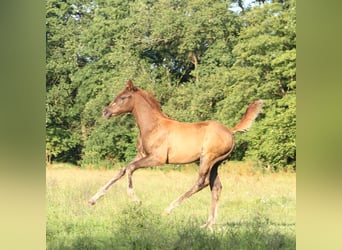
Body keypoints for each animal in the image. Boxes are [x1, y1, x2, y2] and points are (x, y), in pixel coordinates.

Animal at [88, 80, 262, 229]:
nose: (105, 112)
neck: (153, 126)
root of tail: (231, 131)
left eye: (122, 97)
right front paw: (92, 199)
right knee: (216, 187)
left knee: (202, 182)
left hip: (207, 159)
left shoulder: (157, 159)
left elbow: (130, 169)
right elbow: (122, 170)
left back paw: (168, 210)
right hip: (215, 164)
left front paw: (136, 201)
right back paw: (208, 224)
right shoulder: (141, 155)